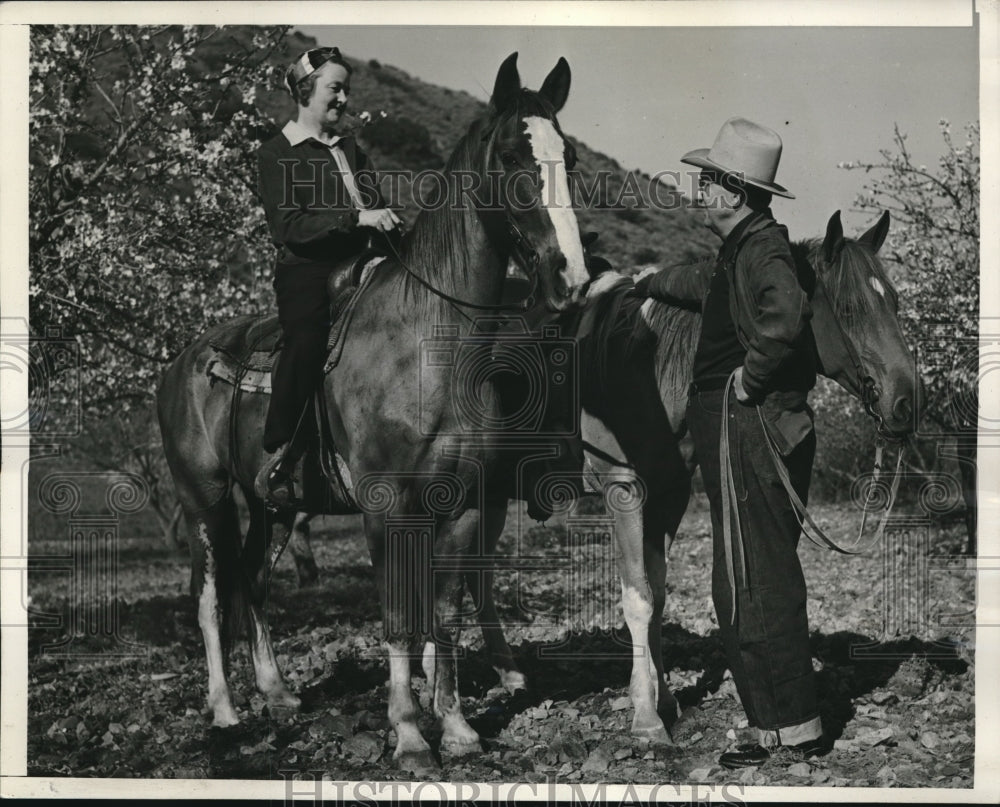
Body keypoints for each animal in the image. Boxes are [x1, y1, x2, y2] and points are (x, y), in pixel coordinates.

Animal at [157, 53, 588, 772]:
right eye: (510, 155)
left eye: (570, 156)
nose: (570, 279)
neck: (427, 341)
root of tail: (180, 362)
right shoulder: (386, 505)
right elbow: (398, 616)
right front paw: (410, 735)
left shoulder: (464, 505)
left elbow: (445, 612)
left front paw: (458, 728)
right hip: (205, 502)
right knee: (212, 596)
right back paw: (225, 709)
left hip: (274, 506)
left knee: (253, 581)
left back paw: (278, 694)